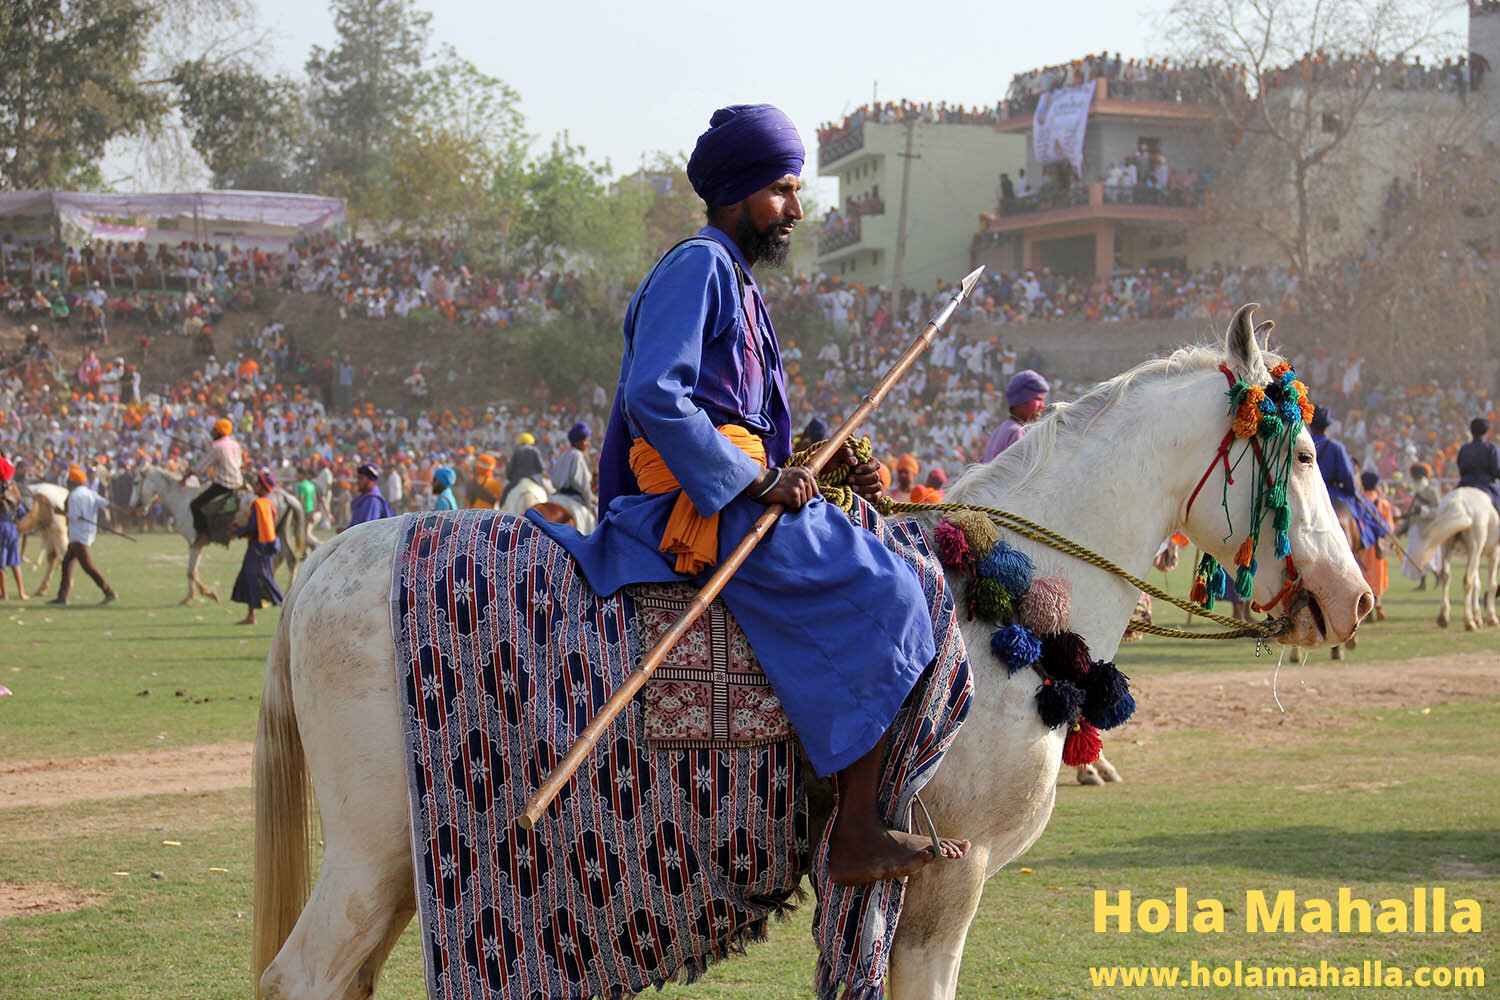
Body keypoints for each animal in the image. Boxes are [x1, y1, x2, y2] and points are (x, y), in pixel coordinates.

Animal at [133, 467, 309, 605]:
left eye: (135, 482)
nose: (135, 505)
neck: (182, 499)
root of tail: (286, 496)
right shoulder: (195, 544)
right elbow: (192, 571)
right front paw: (189, 597)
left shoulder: (195, 542)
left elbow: (191, 572)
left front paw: (209, 594)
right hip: (280, 529)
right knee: (289, 558)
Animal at [249, 307, 1374, 1000]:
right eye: (1302, 453)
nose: (1351, 596)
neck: (1008, 599)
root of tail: (325, 563)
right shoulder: (946, 880)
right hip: (377, 853)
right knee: (303, 976)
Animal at [1410, 485, 1494, 632]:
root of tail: (1458, 501)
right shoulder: (1493, 551)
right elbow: (1491, 584)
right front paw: (1490, 618)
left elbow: (1477, 584)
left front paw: (1478, 617)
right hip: (1474, 547)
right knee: (1467, 580)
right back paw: (1469, 621)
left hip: (1447, 546)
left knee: (1445, 576)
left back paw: (1444, 616)